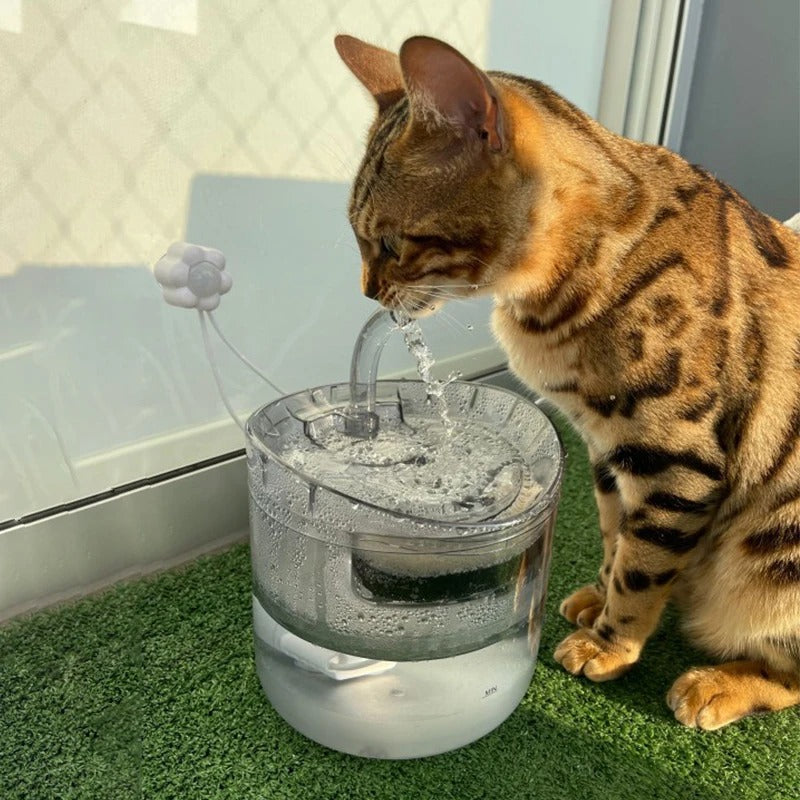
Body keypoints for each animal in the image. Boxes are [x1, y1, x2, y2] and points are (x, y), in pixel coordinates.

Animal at [334, 34, 800, 728]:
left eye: (390, 242)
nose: (366, 291)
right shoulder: (606, 449)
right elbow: (616, 541)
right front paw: (596, 600)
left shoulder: (676, 461)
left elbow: (642, 569)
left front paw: (608, 644)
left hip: (776, 554)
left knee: (787, 673)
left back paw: (717, 684)